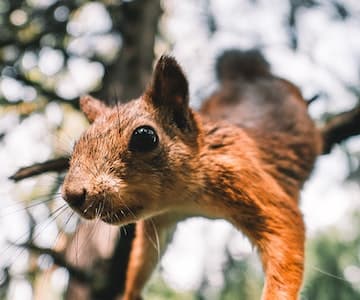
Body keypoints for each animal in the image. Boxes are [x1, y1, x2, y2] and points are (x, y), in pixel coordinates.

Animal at [61, 50, 320, 298]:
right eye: (76, 146)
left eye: (145, 137)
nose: (71, 195)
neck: (185, 199)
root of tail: (248, 75)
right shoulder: (160, 219)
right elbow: (144, 256)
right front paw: (130, 294)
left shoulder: (244, 178)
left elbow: (286, 224)